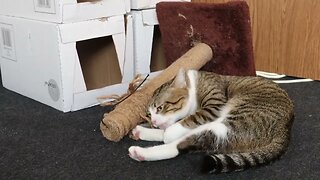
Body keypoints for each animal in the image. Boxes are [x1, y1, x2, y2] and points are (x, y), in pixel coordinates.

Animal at [129, 68, 294, 173]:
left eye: (160, 108)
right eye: (149, 114)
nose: (154, 122)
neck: (196, 85)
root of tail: (285, 128)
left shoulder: (214, 105)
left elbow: (184, 123)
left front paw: (169, 132)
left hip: (231, 123)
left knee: (179, 145)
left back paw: (140, 152)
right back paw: (141, 136)